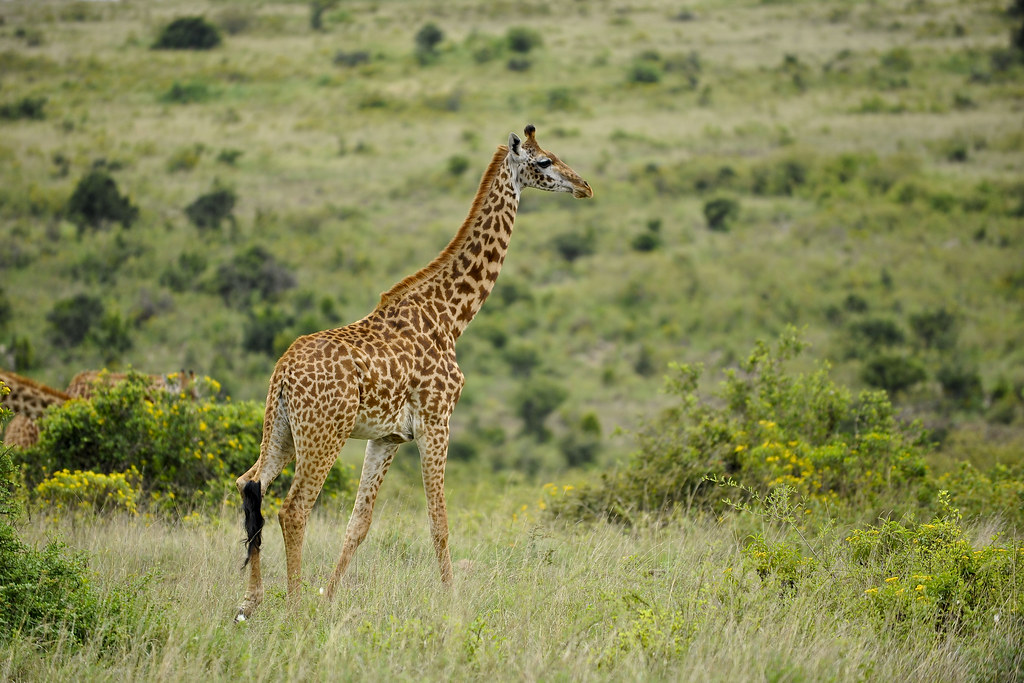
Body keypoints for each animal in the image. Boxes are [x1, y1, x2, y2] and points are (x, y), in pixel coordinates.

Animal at [233, 125, 593, 622]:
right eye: (543, 162)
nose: (584, 186)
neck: (451, 316)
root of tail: (283, 373)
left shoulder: (387, 437)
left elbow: (359, 524)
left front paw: (330, 597)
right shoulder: (436, 421)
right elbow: (439, 521)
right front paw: (453, 602)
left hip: (282, 428)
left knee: (250, 484)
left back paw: (251, 602)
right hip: (324, 432)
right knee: (294, 508)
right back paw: (294, 606)